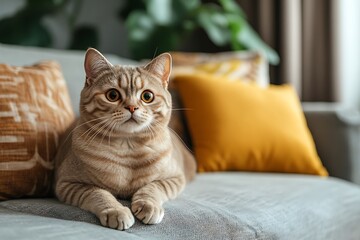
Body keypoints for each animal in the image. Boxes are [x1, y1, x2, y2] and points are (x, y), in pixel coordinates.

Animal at [53, 47, 197, 230]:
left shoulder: (174, 179)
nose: (132, 107)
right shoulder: (67, 184)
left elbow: (154, 187)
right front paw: (116, 211)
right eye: (113, 95)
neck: (128, 148)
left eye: (147, 96)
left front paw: (149, 205)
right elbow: (98, 193)